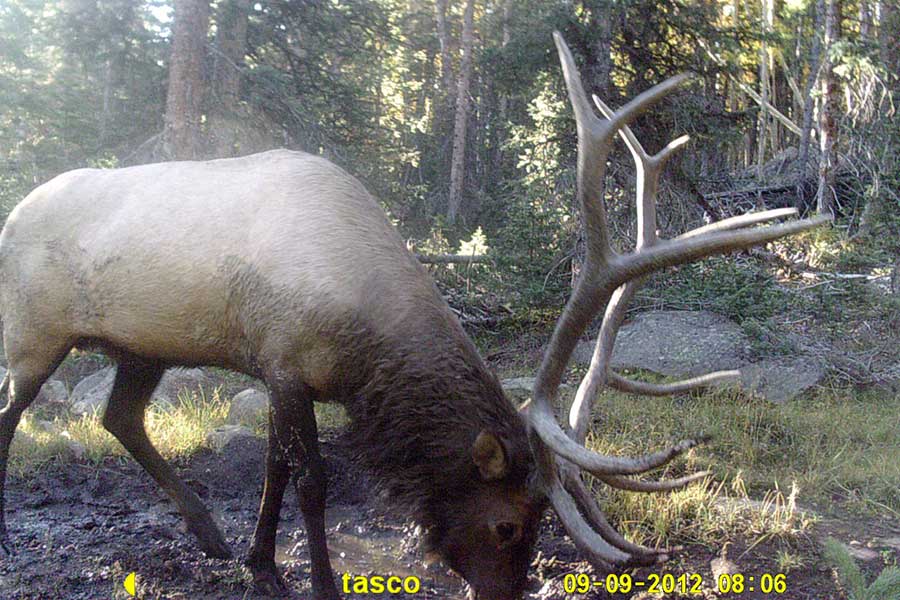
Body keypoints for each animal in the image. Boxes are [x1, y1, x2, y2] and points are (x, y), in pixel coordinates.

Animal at [0, 31, 828, 600]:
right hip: (35, 330)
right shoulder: (288, 362)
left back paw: (208, 536)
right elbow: (312, 480)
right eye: (507, 524)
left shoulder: (275, 368)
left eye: (540, 528)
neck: (365, 350)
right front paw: (318, 581)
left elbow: (273, 469)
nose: (503, 595)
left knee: (119, 417)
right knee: (15, 410)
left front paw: (261, 562)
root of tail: (13, 212)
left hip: (140, 345)